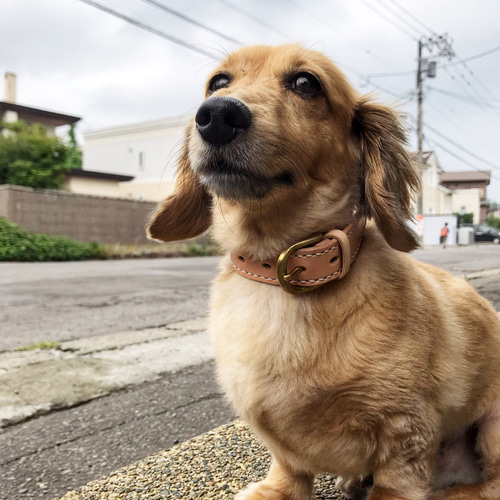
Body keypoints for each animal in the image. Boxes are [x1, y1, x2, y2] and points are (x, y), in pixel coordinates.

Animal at [146, 45, 500, 498]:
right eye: (218, 83)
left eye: (306, 83)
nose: (217, 115)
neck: (284, 276)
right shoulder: (280, 440)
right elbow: (289, 468)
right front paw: (278, 488)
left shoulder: (406, 429)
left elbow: (395, 481)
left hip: (492, 426)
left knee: (492, 481)